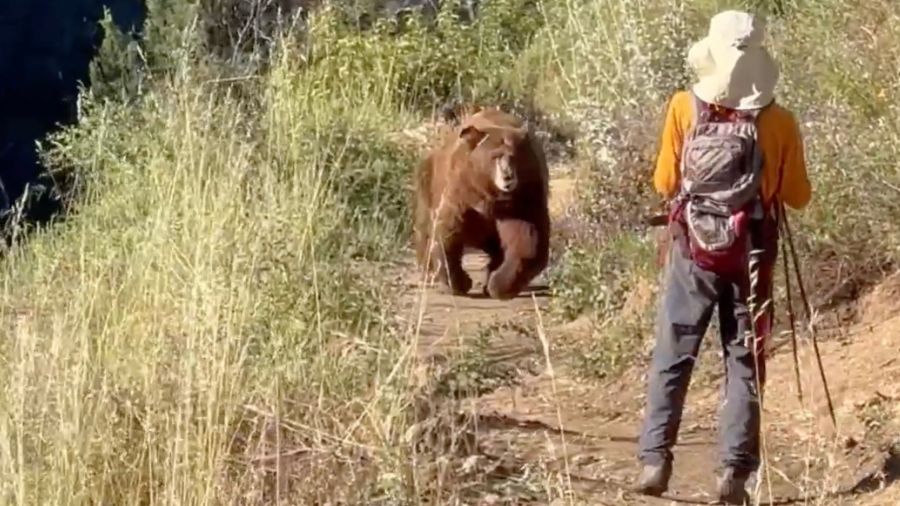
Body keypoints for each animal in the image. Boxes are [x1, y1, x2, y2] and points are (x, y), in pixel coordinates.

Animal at [413, 107, 550, 300]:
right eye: (495, 156)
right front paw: (460, 282)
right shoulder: (462, 193)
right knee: (424, 226)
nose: (508, 177)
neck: (489, 191)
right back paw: (428, 271)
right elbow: (447, 232)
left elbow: (527, 239)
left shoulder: (522, 198)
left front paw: (498, 285)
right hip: (428, 180)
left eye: (514, 157)